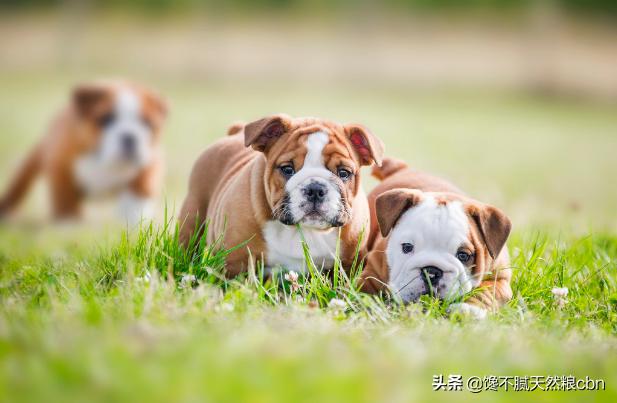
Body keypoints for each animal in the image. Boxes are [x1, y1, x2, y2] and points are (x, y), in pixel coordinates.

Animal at [0, 80, 167, 223]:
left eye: (147, 123)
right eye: (106, 119)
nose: (130, 136)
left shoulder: (150, 161)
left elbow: (139, 192)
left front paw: (135, 219)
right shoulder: (61, 165)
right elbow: (65, 198)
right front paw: (69, 223)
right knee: (19, 183)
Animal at [176, 113, 382, 278]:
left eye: (344, 173)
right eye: (287, 169)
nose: (315, 189)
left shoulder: (348, 264)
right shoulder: (234, 261)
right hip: (193, 213)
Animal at [358, 158, 512, 318]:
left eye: (463, 255)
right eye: (407, 247)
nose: (431, 272)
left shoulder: (500, 280)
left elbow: (485, 293)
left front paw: (468, 309)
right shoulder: (372, 273)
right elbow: (365, 289)